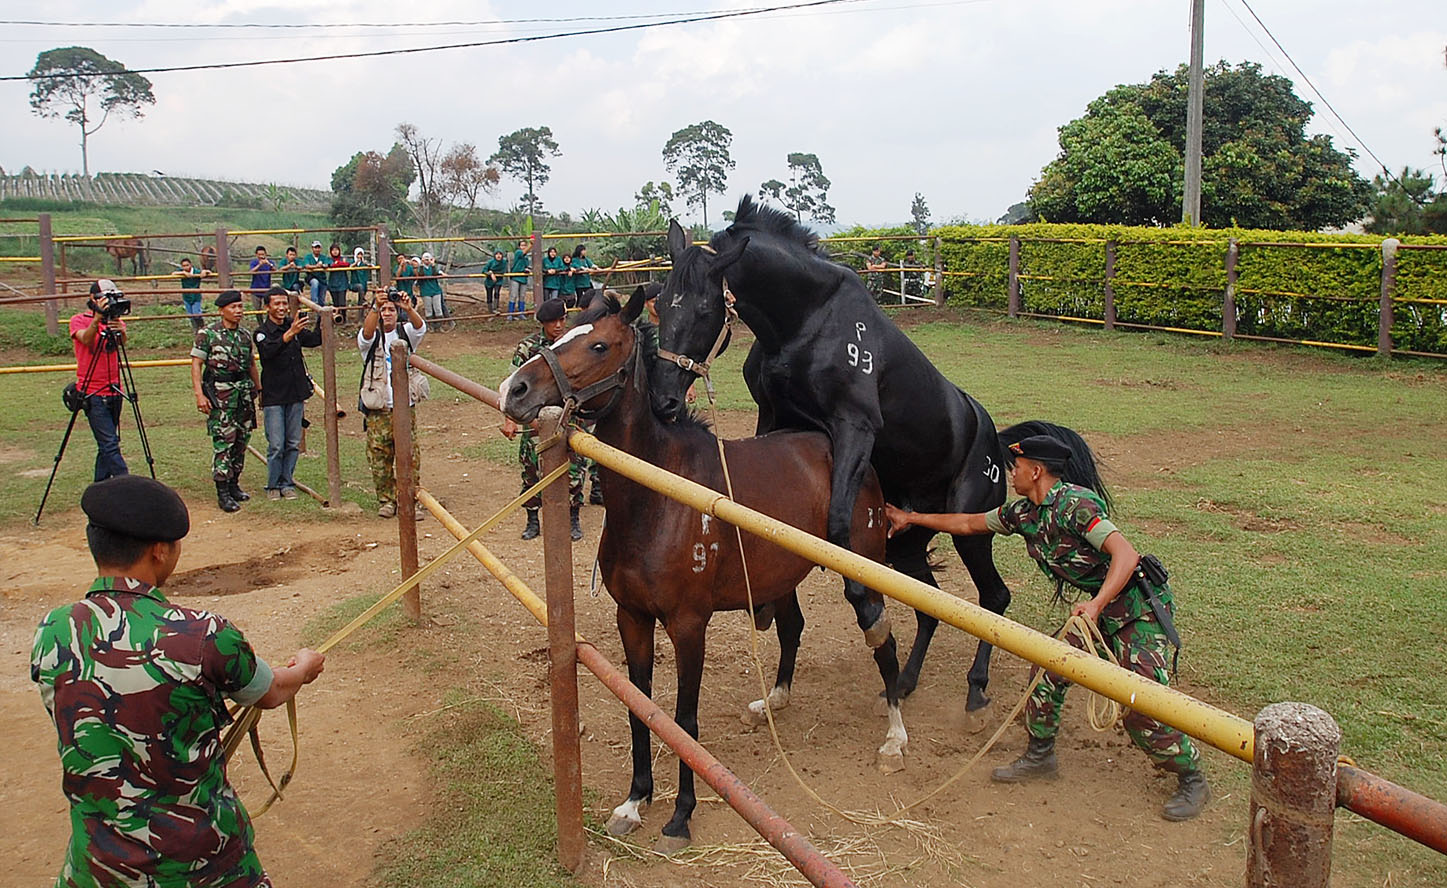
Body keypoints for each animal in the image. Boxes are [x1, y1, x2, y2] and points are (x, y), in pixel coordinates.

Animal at [500, 292, 902, 856]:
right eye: (564, 333)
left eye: (599, 345)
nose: (514, 390)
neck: (659, 498)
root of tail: (845, 456)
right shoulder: (633, 618)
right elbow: (642, 707)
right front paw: (635, 800)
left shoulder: (689, 626)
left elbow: (684, 720)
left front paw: (680, 815)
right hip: (780, 577)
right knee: (793, 628)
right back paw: (774, 700)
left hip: (864, 578)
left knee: (882, 641)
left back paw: (894, 739)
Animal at [651, 199, 1099, 717]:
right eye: (660, 303)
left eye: (705, 309)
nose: (665, 398)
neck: (807, 322)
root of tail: (996, 441)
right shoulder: (777, 418)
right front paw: (769, 611)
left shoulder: (855, 428)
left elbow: (838, 529)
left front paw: (865, 612)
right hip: (908, 541)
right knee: (930, 605)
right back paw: (904, 681)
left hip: (973, 528)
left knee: (994, 598)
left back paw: (975, 687)